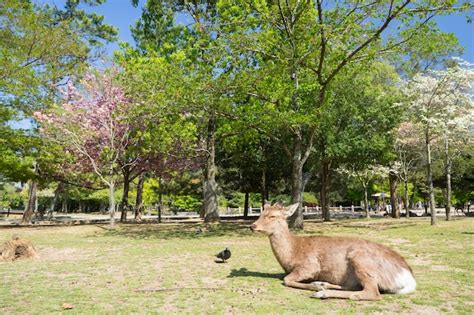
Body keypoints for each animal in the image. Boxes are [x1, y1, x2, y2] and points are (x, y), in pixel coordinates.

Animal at [250, 205, 416, 302]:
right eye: (261, 212)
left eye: (273, 216)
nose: (253, 226)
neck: (292, 253)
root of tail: (409, 278)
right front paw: (317, 285)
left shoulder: (310, 266)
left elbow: (286, 279)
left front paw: (314, 288)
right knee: (355, 287)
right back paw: (322, 284)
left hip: (361, 261)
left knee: (372, 293)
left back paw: (321, 292)